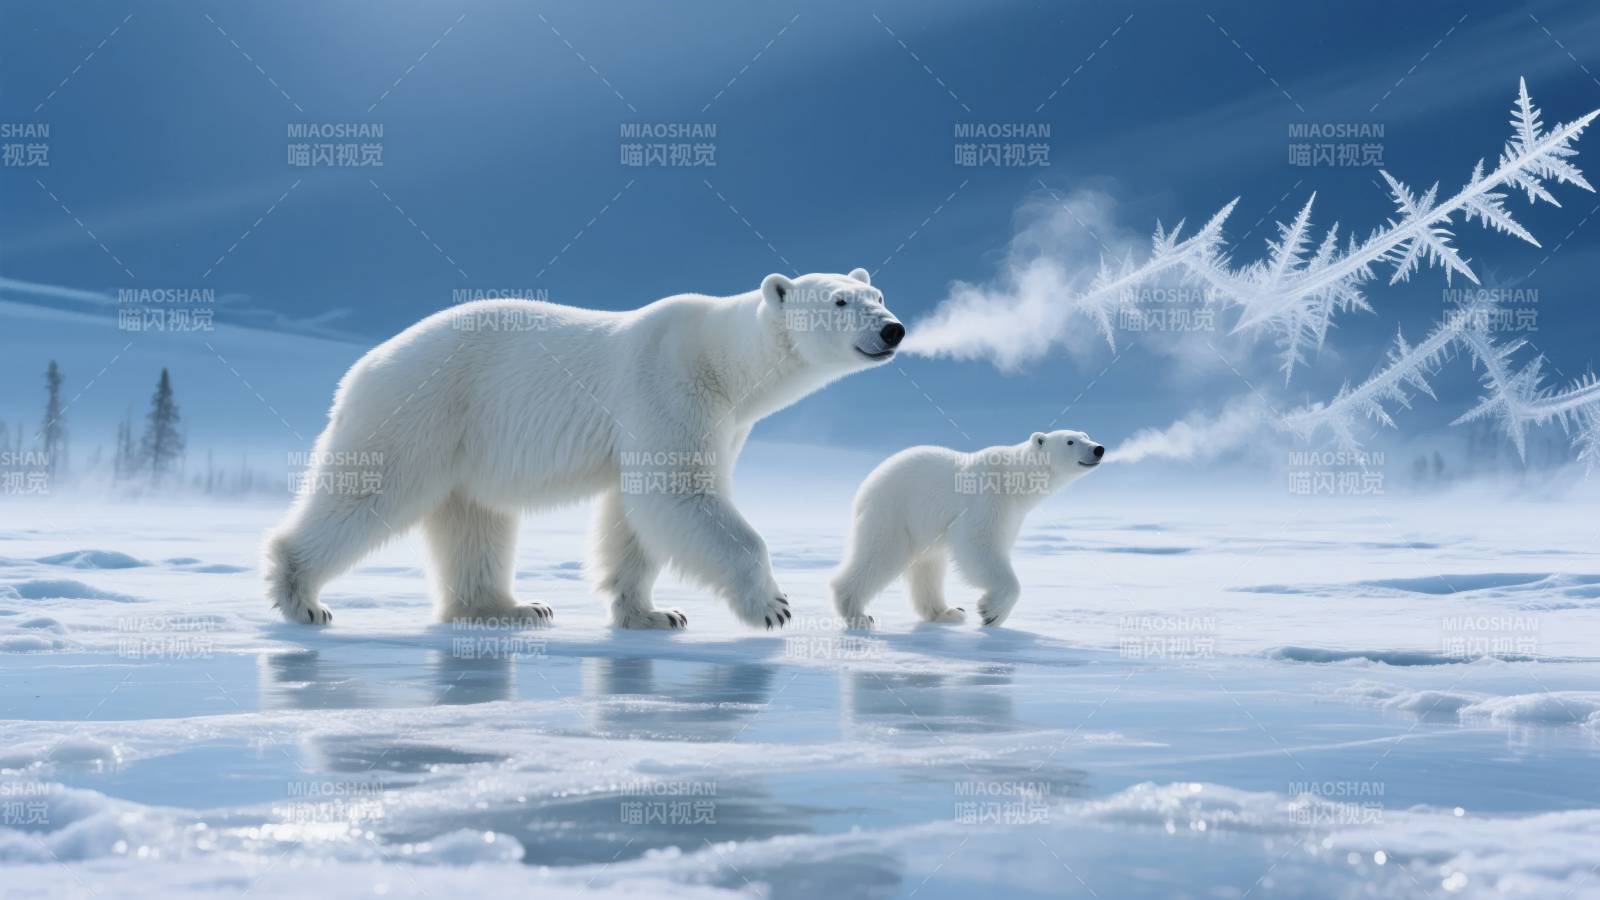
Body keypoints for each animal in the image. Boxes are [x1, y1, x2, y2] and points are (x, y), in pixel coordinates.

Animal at [264, 268, 903, 630]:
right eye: (840, 302)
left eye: (877, 292)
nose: (892, 329)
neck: (723, 362)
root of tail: (362, 365)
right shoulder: (667, 388)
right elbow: (679, 495)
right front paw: (772, 605)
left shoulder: (719, 423)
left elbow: (634, 515)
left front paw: (654, 614)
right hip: (421, 407)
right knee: (369, 489)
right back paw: (301, 598)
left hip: (464, 443)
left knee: (475, 521)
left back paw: (511, 608)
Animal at [830, 430, 1104, 628]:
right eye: (1070, 441)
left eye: (1086, 435)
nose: (1098, 449)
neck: (1013, 478)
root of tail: (866, 485)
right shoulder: (987, 499)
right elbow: (979, 544)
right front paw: (990, 612)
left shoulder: (1013, 514)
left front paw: (989, 613)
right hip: (894, 513)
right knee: (880, 555)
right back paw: (857, 614)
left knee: (928, 566)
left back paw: (948, 612)